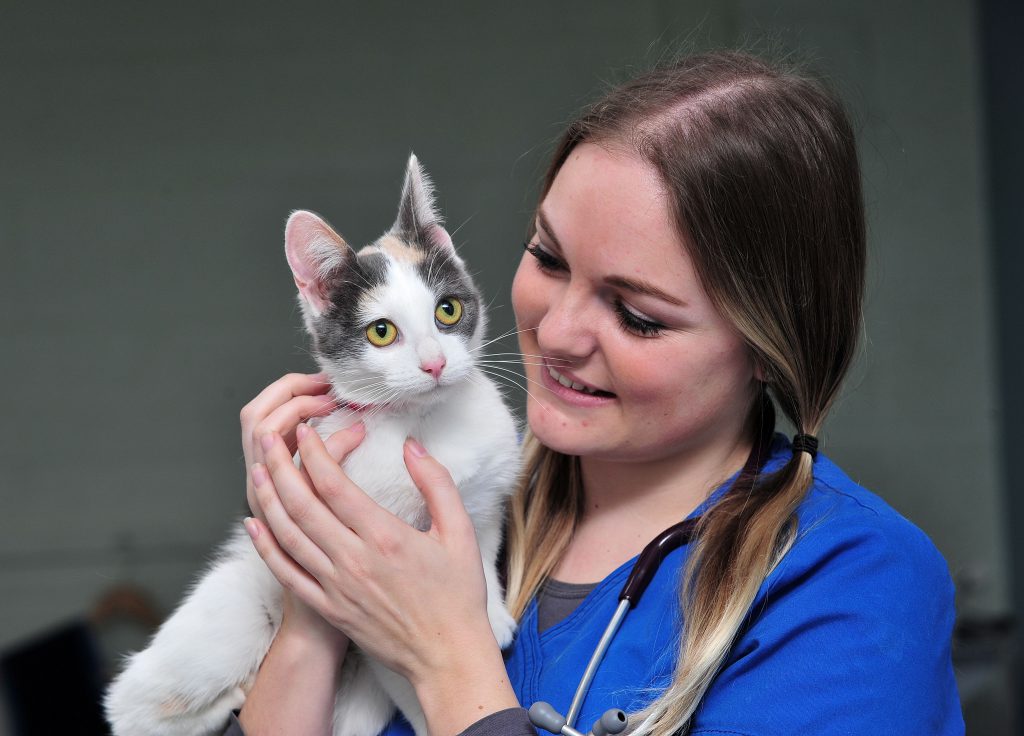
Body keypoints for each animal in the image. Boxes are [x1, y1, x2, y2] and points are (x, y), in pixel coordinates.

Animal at [103, 155, 520, 736]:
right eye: (382, 332)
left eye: (449, 311)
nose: (436, 364)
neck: (420, 421)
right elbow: (403, 672)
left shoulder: (483, 497)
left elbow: (480, 545)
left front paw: (492, 611)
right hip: (224, 622)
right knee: (136, 705)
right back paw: (216, 698)